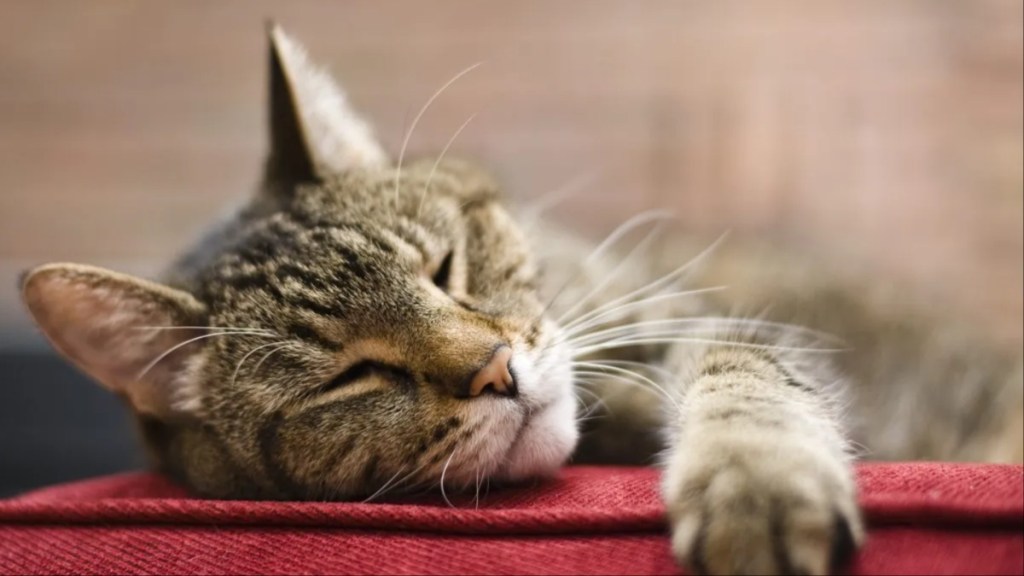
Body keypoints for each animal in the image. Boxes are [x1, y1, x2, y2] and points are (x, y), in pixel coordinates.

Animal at [19, 24, 1019, 569]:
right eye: (351, 378)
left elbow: (746, 384)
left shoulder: (701, 318)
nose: (497, 368)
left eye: (446, 267)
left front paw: (756, 486)